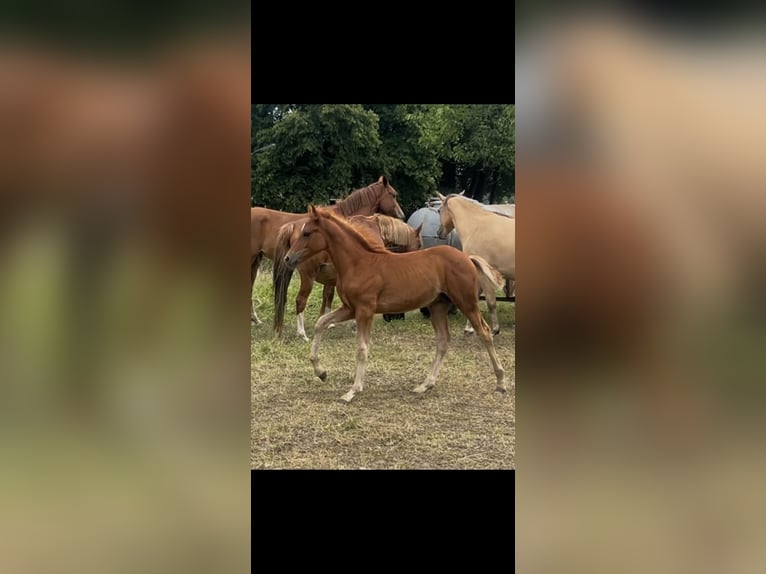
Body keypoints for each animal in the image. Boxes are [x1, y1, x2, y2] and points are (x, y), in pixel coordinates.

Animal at [250, 176, 405, 323]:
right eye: (393, 195)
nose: (402, 215)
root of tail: (292, 227)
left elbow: (327, 297)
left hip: (257, 260)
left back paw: (255, 319)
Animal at [272, 214, 423, 339]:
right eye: (419, 245)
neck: (376, 230)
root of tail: (293, 226)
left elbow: (328, 298)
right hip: (308, 277)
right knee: (300, 300)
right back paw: (302, 334)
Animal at [437, 192, 516, 334]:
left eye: (439, 210)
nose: (439, 232)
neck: (476, 226)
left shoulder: (483, 274)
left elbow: (490, 303)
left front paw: (495, 330)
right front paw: (469, 328)